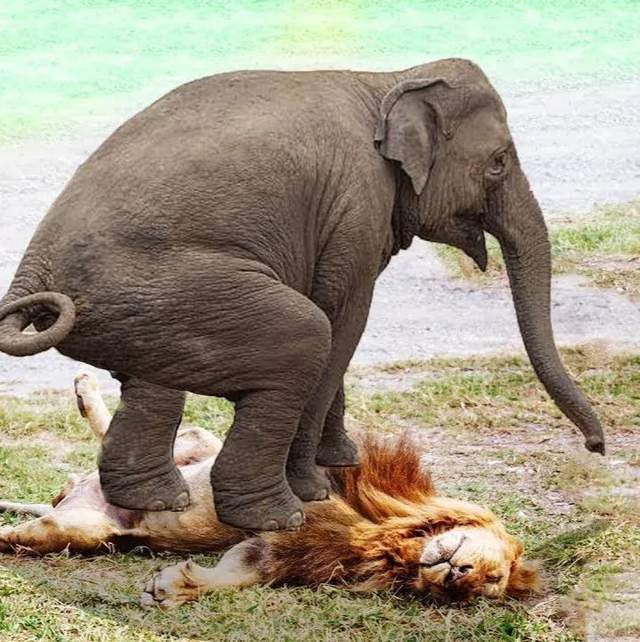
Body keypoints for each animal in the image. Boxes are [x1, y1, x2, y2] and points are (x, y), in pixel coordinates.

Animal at [0, 58, 604, 528]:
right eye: (499, 162)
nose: (597, 448)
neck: (390, 78)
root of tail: (33, 268)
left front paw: (343, 462)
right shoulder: (357, 205)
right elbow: (342, 320)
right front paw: (318, 487)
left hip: (143, 308)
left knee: (154, 382)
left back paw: (157, 501)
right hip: (168, 288)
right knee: (305, 335)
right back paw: (276, 518)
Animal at [0, 370, 536, 604]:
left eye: (482, 587)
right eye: (490, 571)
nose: (456, 576)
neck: (391, 539)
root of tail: (69, 495)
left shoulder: (283, 551)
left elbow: (238, 573)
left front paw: (173, 587)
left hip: (82, 531)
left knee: (24, 533)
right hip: (200, 442)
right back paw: (85, 389)